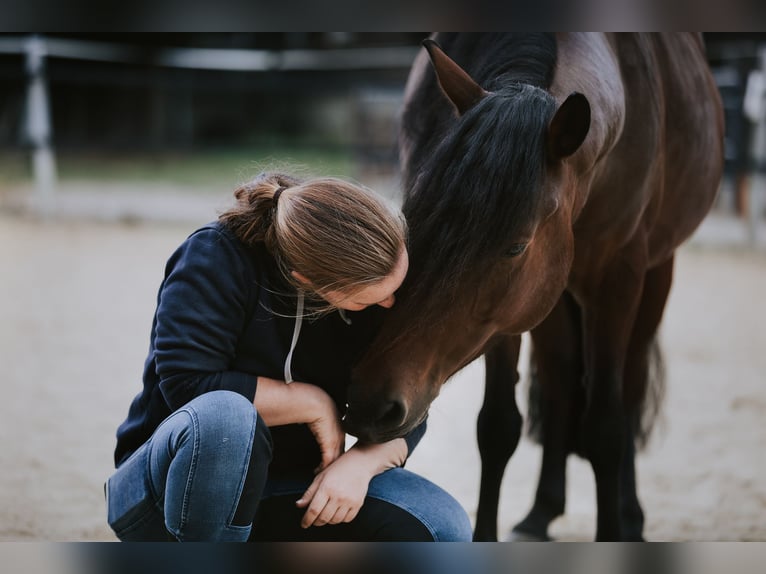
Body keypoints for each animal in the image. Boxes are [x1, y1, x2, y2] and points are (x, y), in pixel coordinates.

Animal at [342, 33, 724, 541]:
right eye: (413, 219)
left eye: (515, 247)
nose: (370, 404)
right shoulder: (504, 319)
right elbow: (497, 426)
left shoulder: (617, 278)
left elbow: (606, 428)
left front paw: (615, 526)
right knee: (561, 380)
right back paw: (541, 511)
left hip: (655, 274)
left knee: (630, 387)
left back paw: (630, 515)